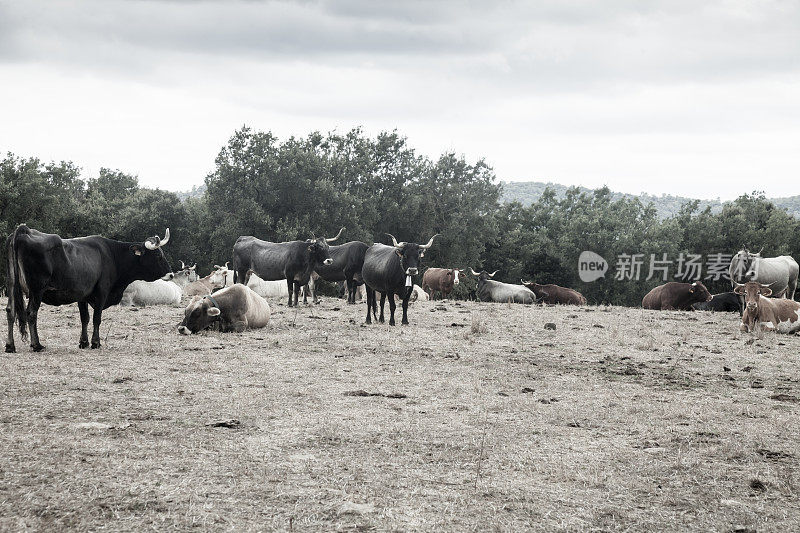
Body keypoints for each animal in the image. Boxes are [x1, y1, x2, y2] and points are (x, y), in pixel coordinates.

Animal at [5, 223, 173, 352]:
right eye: (158, 256)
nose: (171, 274)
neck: (112, 254)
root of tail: (24, 230)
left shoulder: (82, 295)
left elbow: (84, 318)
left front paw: (83, 342)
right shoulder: (102, 293)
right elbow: (96, 318)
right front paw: (95, 342)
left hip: (12, 287)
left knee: (10, 311)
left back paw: (10, 345)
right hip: (37, 290)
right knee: (31, 313)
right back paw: (37, 345)